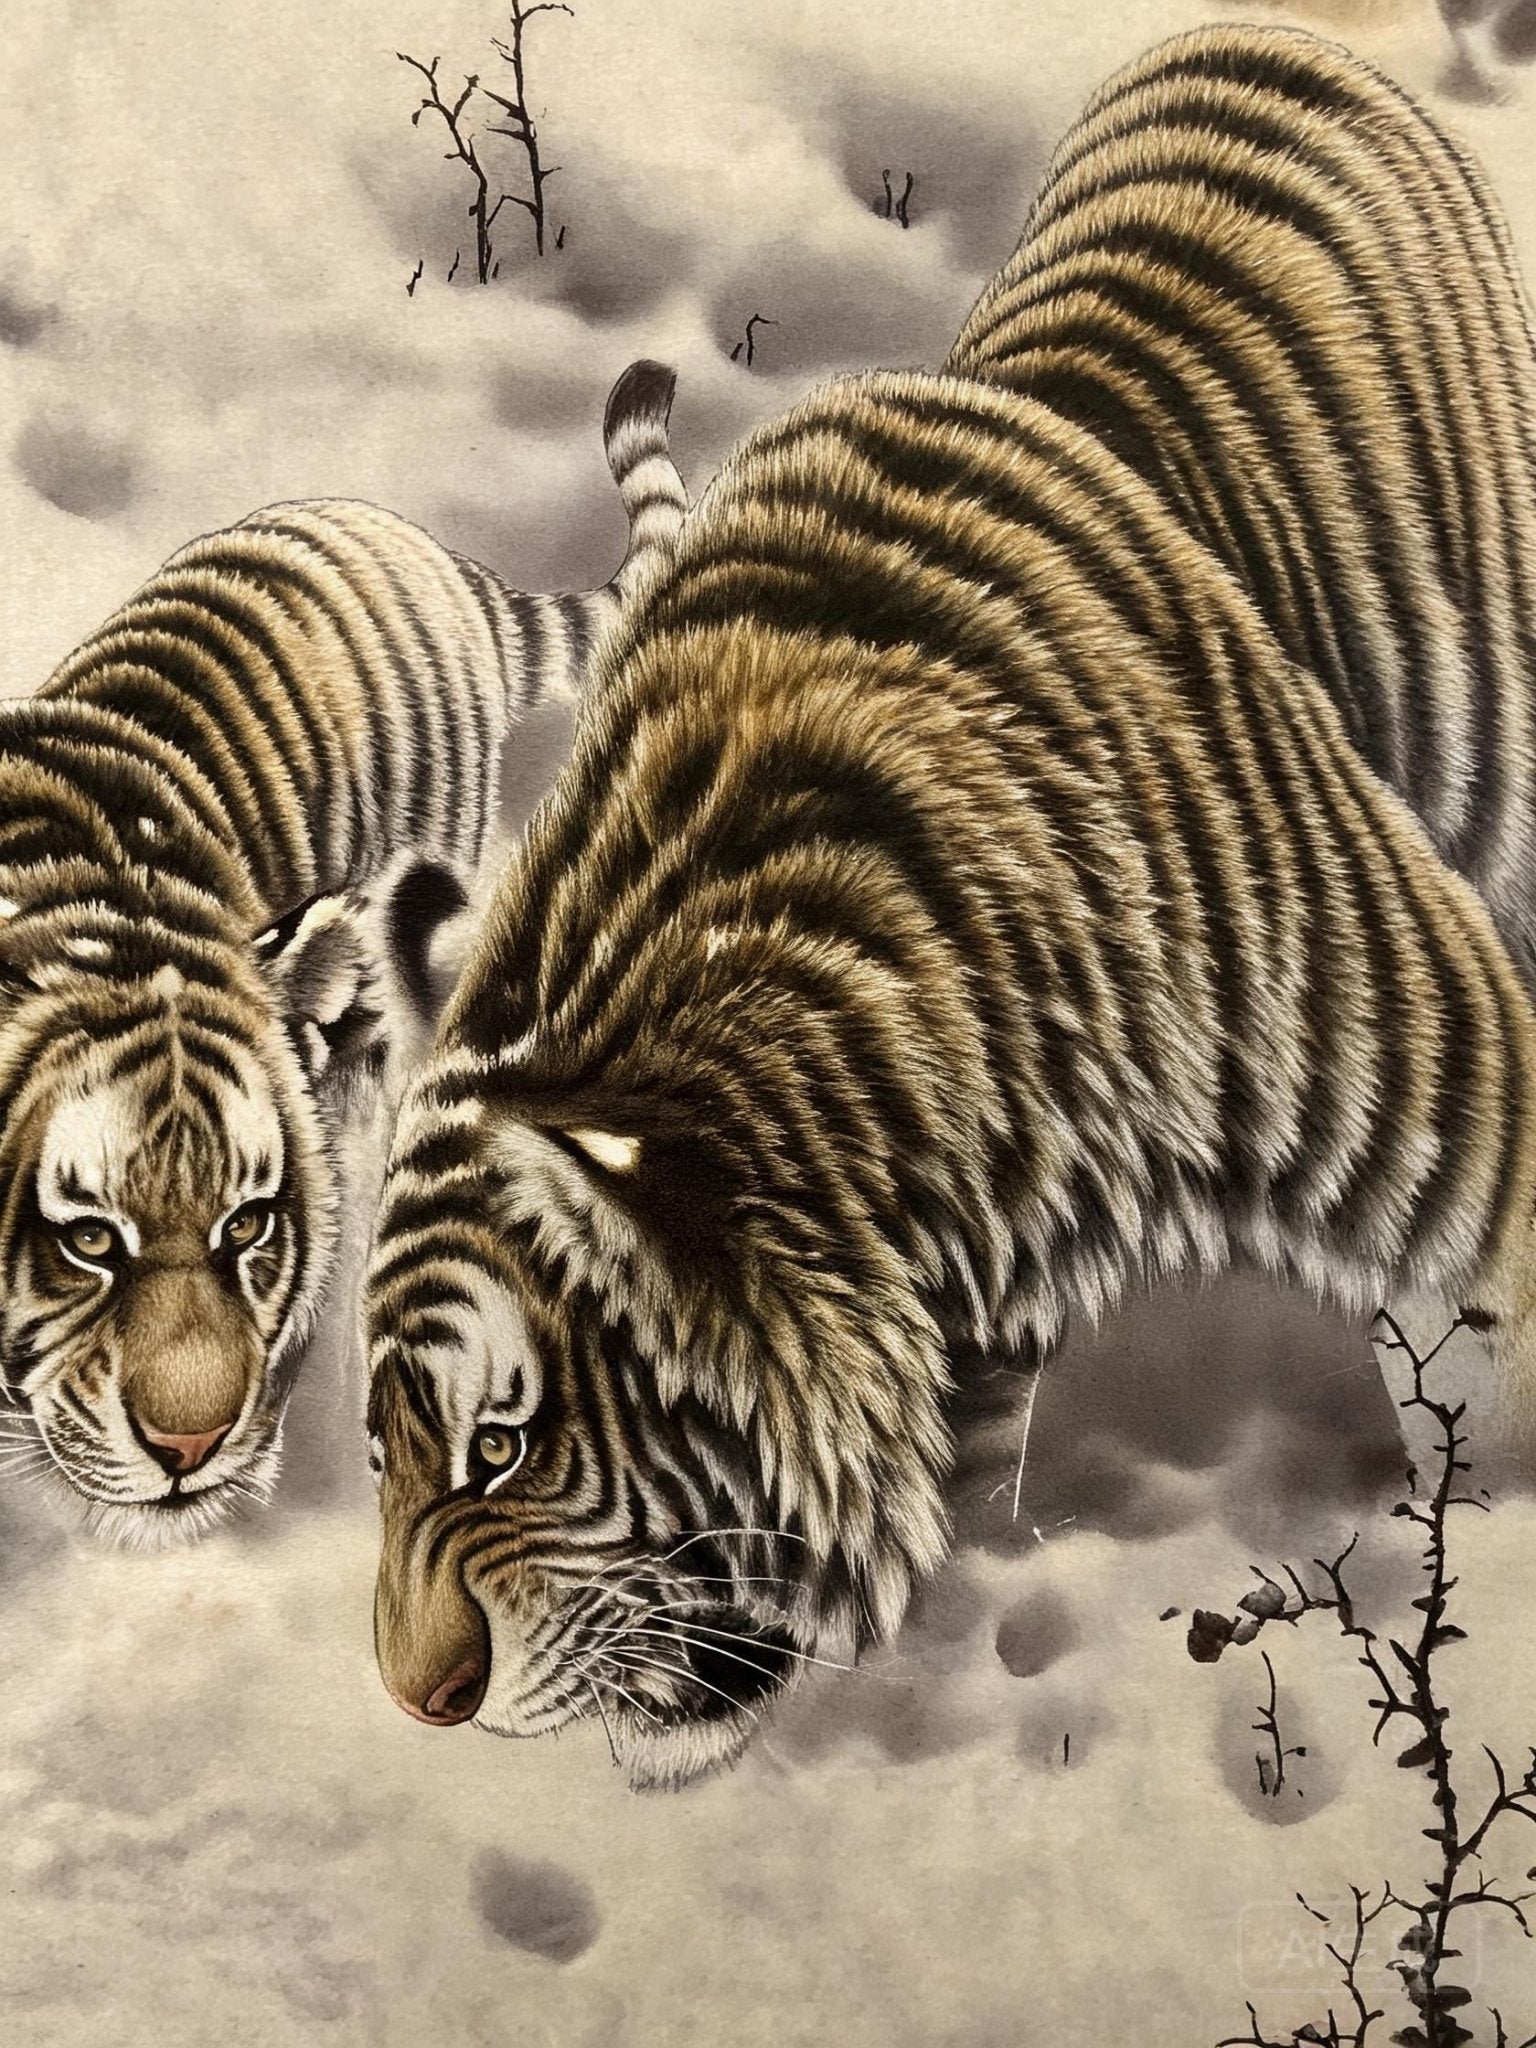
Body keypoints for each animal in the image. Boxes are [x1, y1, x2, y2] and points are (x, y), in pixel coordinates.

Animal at [364, 25, 1536, 1791]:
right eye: (379, 1446)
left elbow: (1484, 1333)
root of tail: (1267, 31)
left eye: (506, 1444)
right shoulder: (971, 1313)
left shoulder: (1434, 1067)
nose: (416, 1700)